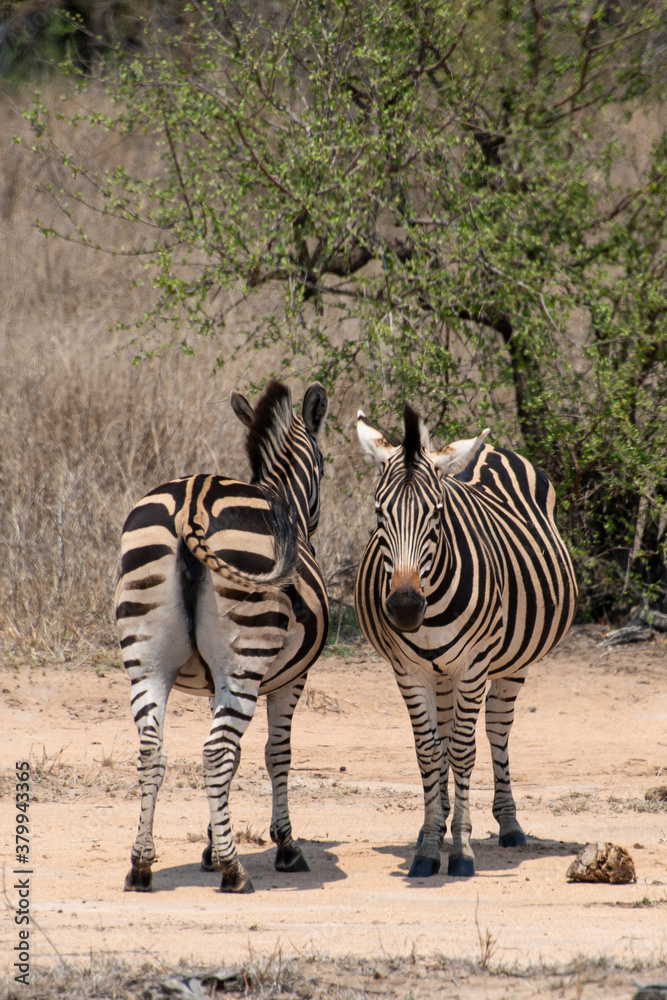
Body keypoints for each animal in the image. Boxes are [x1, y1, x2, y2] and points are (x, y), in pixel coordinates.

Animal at [116, 380, 328, 894]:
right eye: (325, 462)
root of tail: (193, 502)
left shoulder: (214, 682)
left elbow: (235, 760)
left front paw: (212, 847)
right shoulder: (292, 679)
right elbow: (276, 753)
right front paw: (284, 847)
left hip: (147, 661)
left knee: (152, 750)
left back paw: (141, 864)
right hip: (244, 662)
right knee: (214, 751)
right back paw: (236, 872)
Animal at [354, 404, 576, 879]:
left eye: (437, 513)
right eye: (380, 514)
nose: (404, 608)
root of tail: (489, 449)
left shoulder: (474, 666)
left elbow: (461, 750)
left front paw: (461, 849)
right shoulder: (409, 671)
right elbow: (428, 751)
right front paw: (428, 845)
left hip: (511, 662)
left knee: (495, 727)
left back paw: (508, 824)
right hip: (441, 673)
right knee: (441, 734)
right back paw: (434, 826)